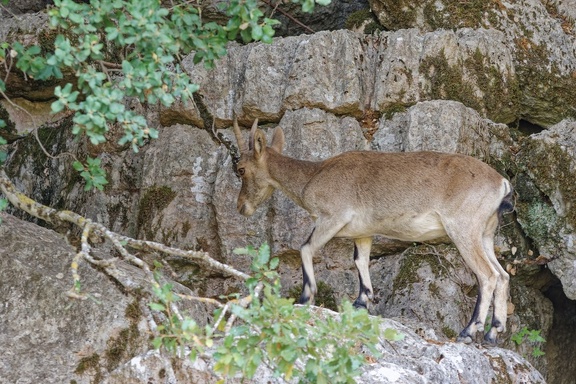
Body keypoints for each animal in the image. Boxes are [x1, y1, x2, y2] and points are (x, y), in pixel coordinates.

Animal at [232, 118, 516, 344]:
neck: (313, 177)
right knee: (503, 276)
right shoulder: (362, 232)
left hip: (463, 230)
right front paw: (362, 301)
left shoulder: (332, 218)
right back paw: (493, 334)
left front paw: (305, 297)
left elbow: (306, 248)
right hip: (485, 234)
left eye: (241, 169)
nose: (241, 207)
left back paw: (468, 332)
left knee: (488, 275)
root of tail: (500, 182)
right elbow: (360, 260)